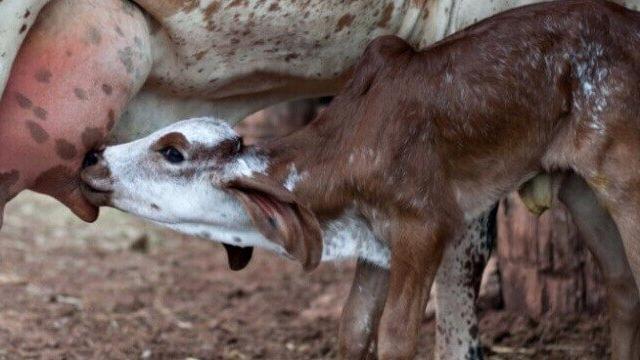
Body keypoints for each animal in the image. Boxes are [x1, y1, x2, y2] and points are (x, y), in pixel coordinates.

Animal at [0, 0, 636, 358]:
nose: (93, 159)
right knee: (624, 287)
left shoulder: (425, 229)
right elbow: (355, 329)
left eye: (174, 151)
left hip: (618, 186)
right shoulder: (379, 247)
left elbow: (402, 333)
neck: (348, 148)